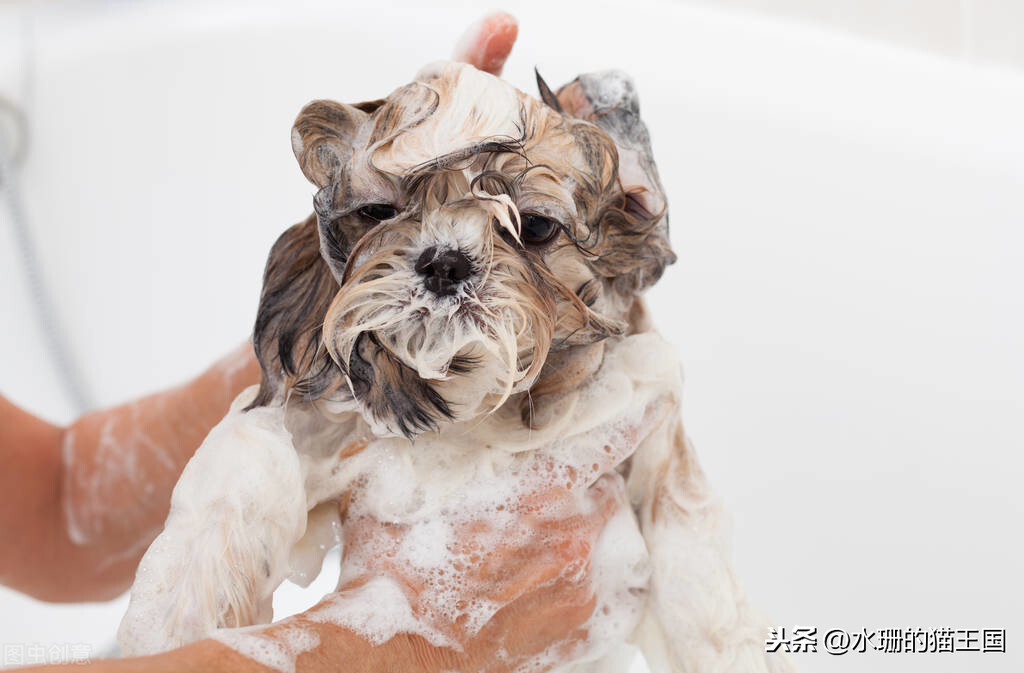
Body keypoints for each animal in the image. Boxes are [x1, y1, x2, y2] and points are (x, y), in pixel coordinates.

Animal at [117, 60, 790, 667]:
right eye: (379, 212)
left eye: (536, 226)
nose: (445, 261)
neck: (476, 407)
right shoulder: (313, 423)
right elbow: (234, 484)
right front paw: (171, 622)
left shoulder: (652, 416)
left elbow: (686, 542)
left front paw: (728, 644)